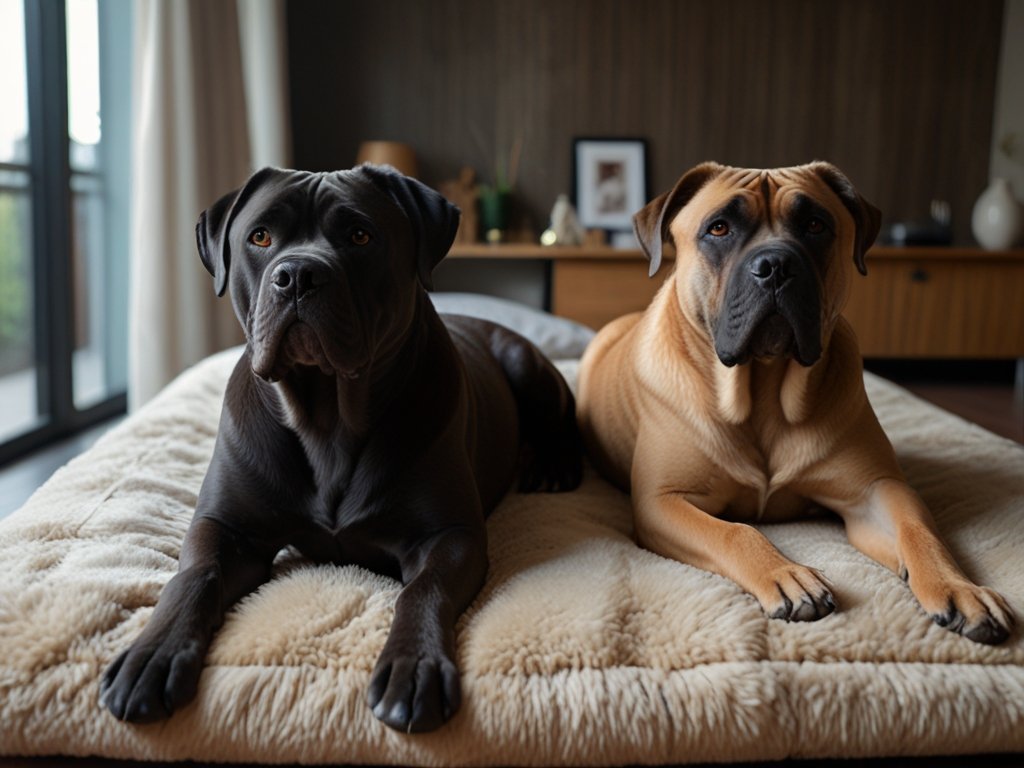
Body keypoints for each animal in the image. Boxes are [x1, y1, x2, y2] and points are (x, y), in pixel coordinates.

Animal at [105, 166, 585, 733]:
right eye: (260, 237)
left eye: (360, 236)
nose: (297, 275)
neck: (326, 415)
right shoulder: (226, 527)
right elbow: (193, 577)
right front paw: (152, 654)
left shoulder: (450, 535)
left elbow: (423, 589)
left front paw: (412, 666)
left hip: (524, 365)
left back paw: (552, 466)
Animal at [581, 160, 1011, 643]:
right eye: (718, 228)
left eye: (815, 225)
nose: (775, 265)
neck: (764, 387)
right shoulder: (662, 503)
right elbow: (736, 532)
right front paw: (785, 574)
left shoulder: (875, 491)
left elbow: (918, 530)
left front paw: (959, 587)